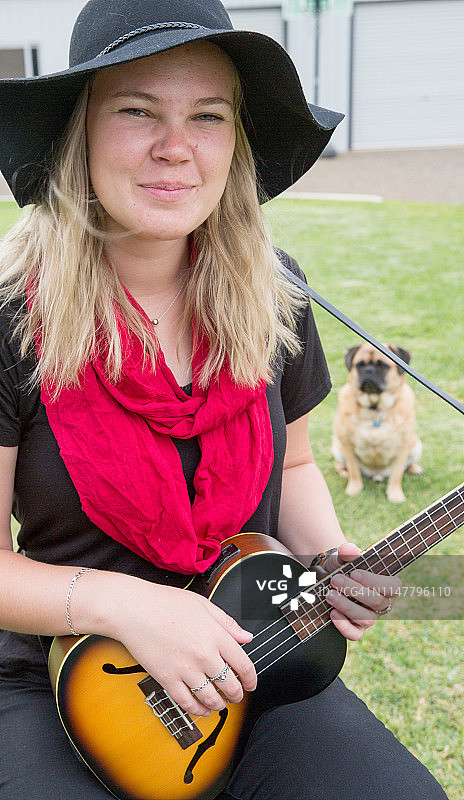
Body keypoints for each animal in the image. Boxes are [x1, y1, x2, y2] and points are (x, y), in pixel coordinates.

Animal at [332, 343, 422, 503]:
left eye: (383, 365)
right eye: (360, 365)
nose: (369, 370)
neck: (374, 410)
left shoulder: (403, 446)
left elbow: (396, 475)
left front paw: (395, 495)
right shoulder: (347, 444)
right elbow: (354, 470)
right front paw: (354, 489)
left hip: (416, 445)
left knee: (407, 464)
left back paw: (414, 469)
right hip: (337, 447)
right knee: (341, 465)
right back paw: (344, 472)